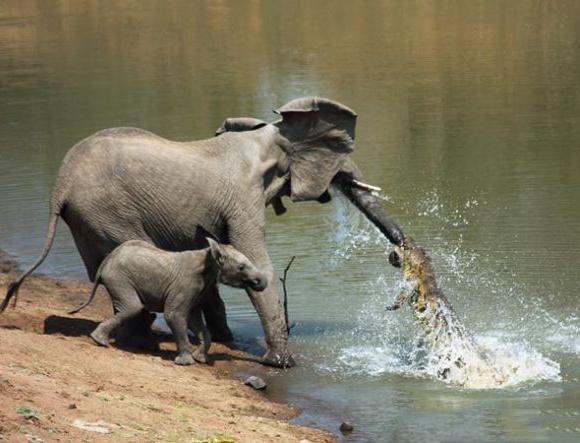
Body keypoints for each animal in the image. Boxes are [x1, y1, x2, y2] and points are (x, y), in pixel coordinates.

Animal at [69, 241, 268, 366]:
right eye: (241, 267)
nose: (259, 282)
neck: (209, 255)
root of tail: (104, 263)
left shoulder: (199, 289)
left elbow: (194, 321)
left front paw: (200, 359)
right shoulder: (186, 285)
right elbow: (174, 315)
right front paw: (186, 363)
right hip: (119, 278)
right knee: (133, 307)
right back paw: (100, 341)